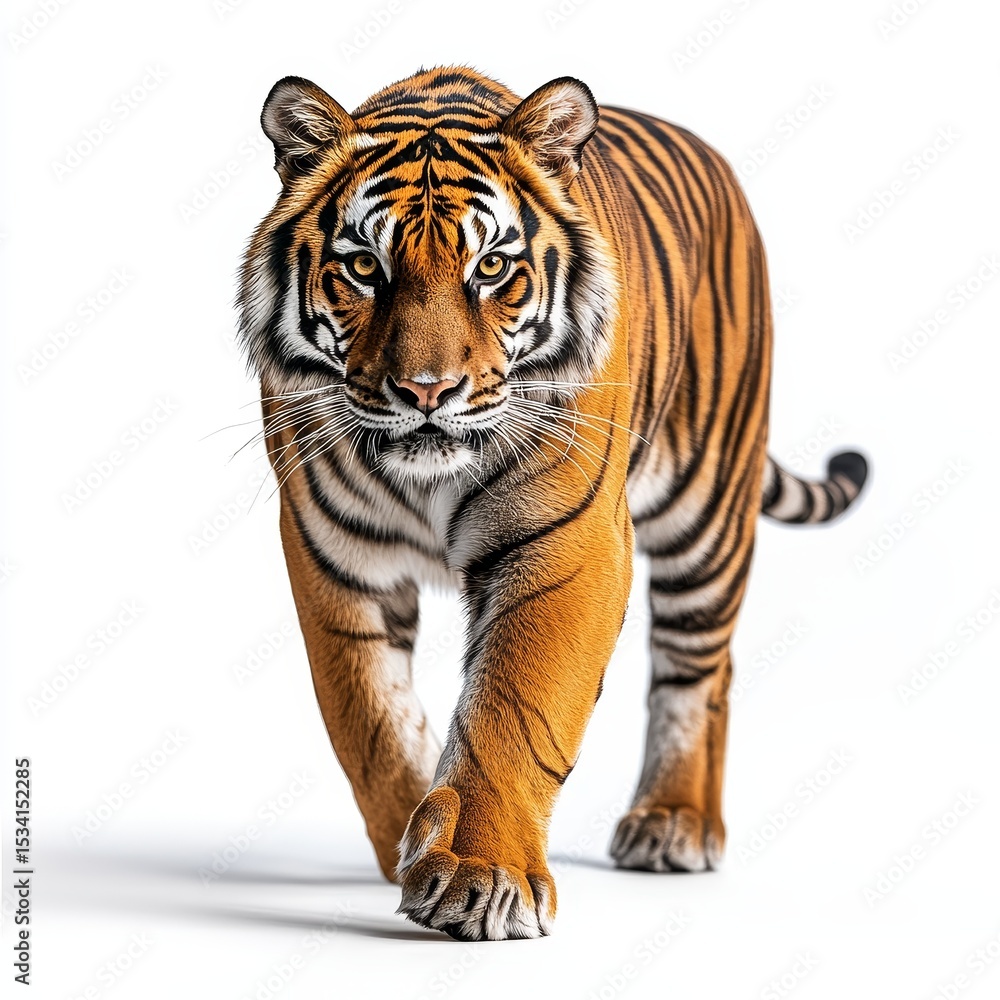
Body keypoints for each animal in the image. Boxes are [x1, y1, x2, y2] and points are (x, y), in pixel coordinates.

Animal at [237, 66, 868, 942]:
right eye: (364, 268)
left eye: (491, 269)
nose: (426, 391)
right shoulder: (334, 555)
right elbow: (370, 720)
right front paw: (409, 838)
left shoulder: (568, 544)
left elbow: (514, 709)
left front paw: (479, 874)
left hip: (708, 512)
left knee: (699, 670)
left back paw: (673, 822)